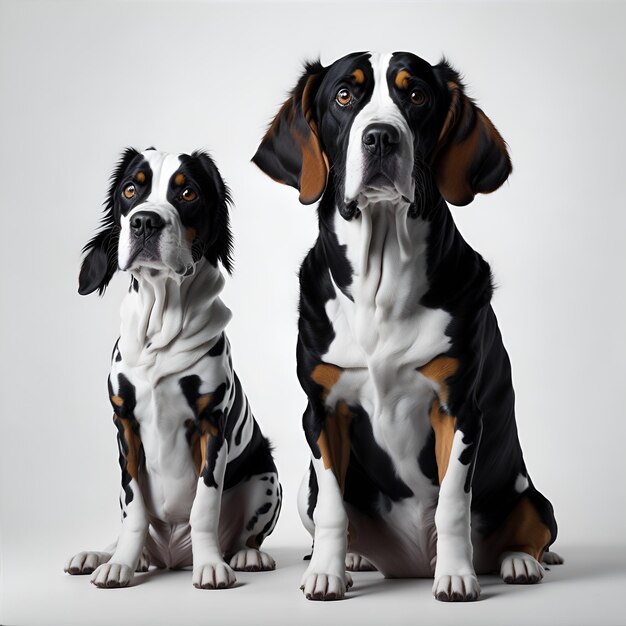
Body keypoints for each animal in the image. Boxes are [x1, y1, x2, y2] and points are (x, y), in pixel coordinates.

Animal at [64, 149, 280, 588]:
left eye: (187, 192)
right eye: (131, 190)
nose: (145, 221)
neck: (159, 330)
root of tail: (171, 556)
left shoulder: (211, 427)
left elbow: (204, 506)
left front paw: (210, 564)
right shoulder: (125, 427)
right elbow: (134, 510)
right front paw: (120, 564)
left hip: (266, 475)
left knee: (245, 535)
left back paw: (246, 555)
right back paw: (101, 554)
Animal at [251, 52, 560, 600]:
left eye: (415, 95)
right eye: (344, 96)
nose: (380, 137)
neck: (382, 285)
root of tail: (410, 562)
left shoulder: (457, 409)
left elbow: (453, 505)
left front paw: (456, 576)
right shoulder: (322, 412)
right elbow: (332, 508)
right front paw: (326, 573)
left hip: (530, 494)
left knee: (530, 530)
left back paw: (518, 562)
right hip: (304, 489)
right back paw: (354, 559)